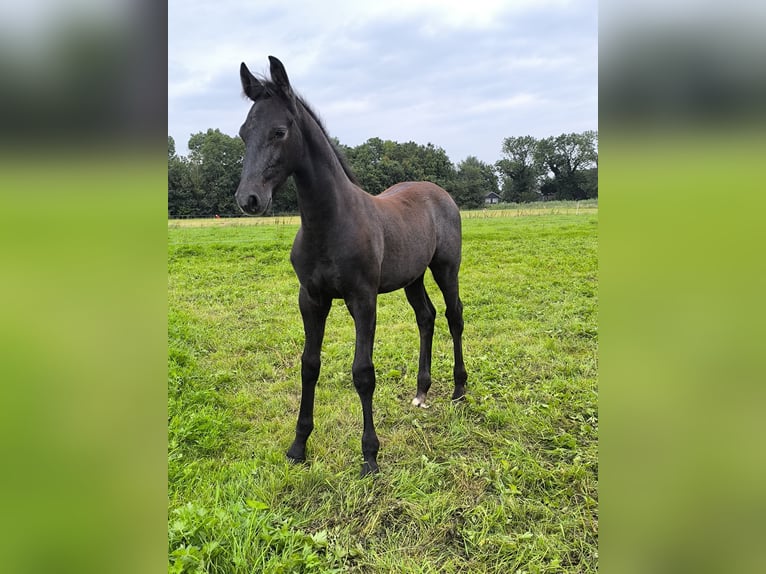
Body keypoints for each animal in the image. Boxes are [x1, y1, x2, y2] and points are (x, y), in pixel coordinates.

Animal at [236, 56, 468, 480]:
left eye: (279, 131)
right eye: (244, 133)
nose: (249, 199)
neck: (329, 223)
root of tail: (438, 191)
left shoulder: (362, 300)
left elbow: (363, 373)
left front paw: (370, 456)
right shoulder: (311, 299)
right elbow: (309, 365)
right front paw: (298, 446)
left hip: (446, 268)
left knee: (454, 315)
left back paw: (460, 390)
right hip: (412, 276)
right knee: (426, 317)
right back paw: (421, 391)